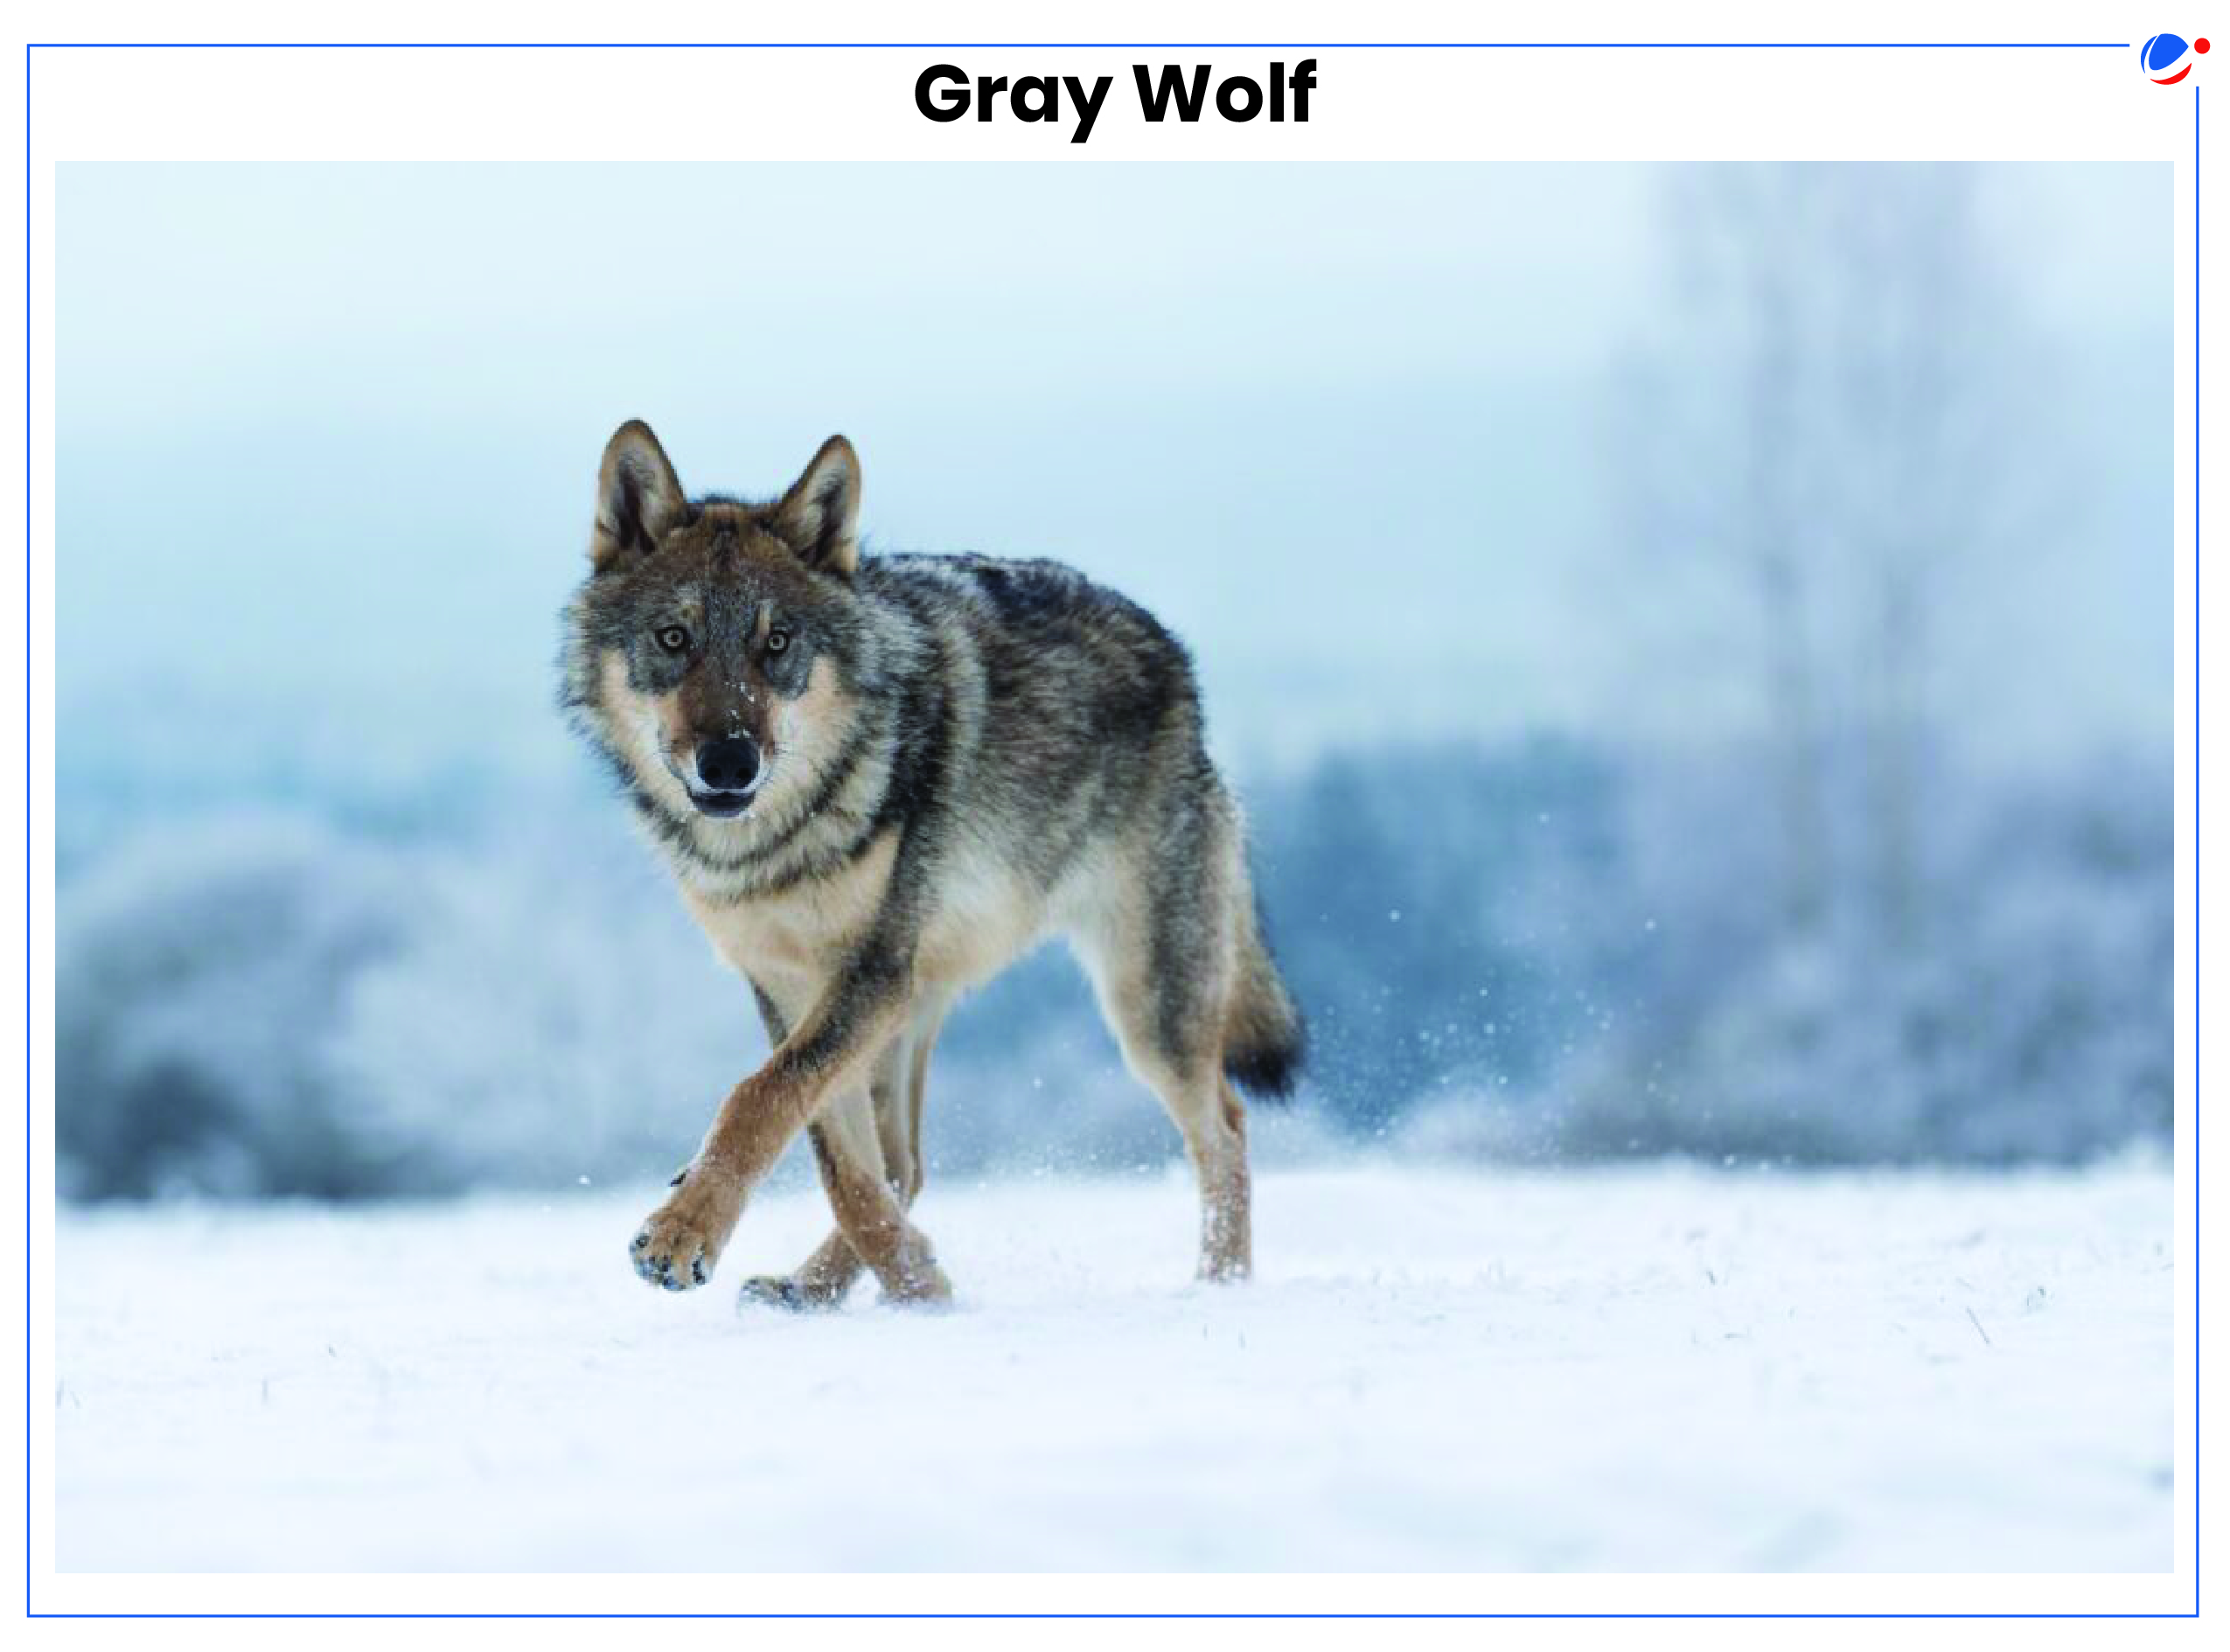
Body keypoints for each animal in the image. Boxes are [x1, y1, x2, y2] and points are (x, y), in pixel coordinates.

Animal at [561, 425, 1302, 1301]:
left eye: (776, 643)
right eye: (674, 639)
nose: (730, 763)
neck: (780, 842)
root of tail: (1177, 662)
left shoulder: (870, 972)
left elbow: (760, 1099)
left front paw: (682, 1235)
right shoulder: (789, 984)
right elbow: (835, 1158)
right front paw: (916, 1280)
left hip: (1145, 1005)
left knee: (1225, 1128)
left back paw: (1220, 1285)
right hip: (921, 1003)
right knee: (905, 1166)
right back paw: (818, 1289)